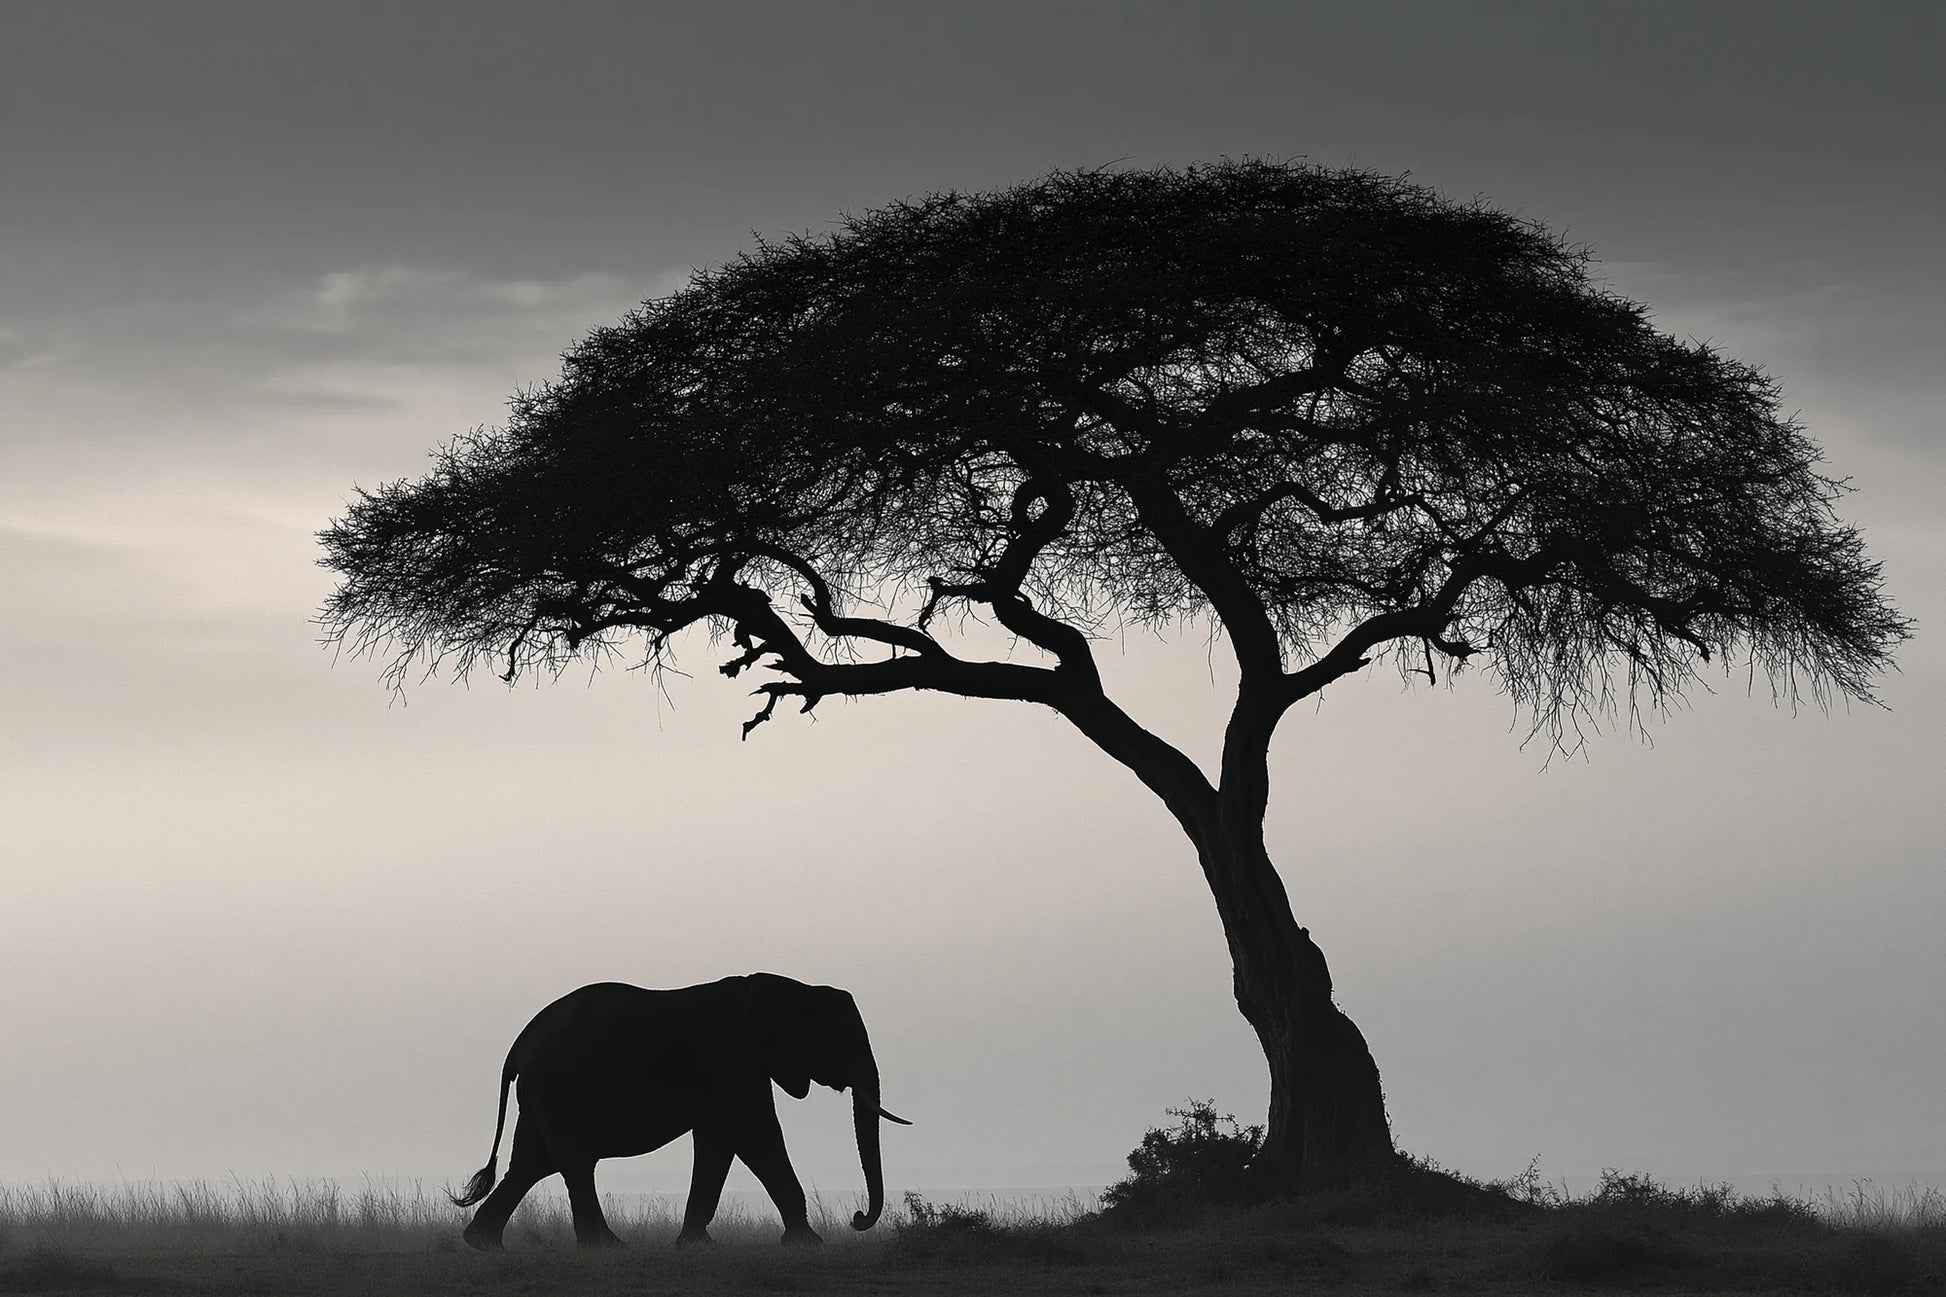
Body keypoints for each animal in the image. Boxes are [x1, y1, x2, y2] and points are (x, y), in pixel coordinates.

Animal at [449, 973, 910, 1249]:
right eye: (844, 1040)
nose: (857, 1219)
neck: (781, 985)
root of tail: (519, 1045)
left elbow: (719, 1142)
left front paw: (695, 1245)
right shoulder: (731, 1061)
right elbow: (757, 1136)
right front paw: (808, 1244)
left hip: (543, 1094)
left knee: (533, 1163)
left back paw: (483, 1243)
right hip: (559, 1086)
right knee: (572, 1163)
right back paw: (607, 1247)